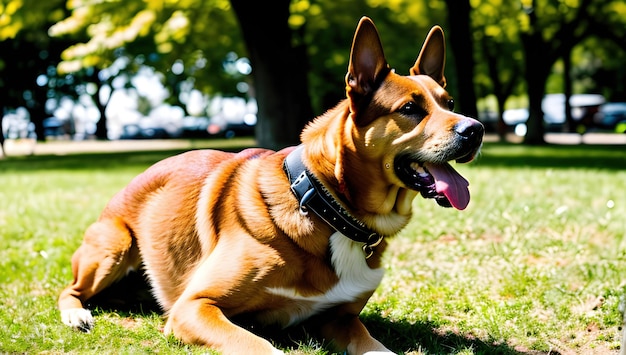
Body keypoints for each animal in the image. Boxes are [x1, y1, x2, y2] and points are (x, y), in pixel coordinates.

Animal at [58, 17, 482, 355]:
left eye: (449, 102)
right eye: (410, 109)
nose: (475, 129)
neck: (325, 204)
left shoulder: (339, 319)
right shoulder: (194, 307)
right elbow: (259, 345)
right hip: (114, 245)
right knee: (70, 289)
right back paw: (77, 314)